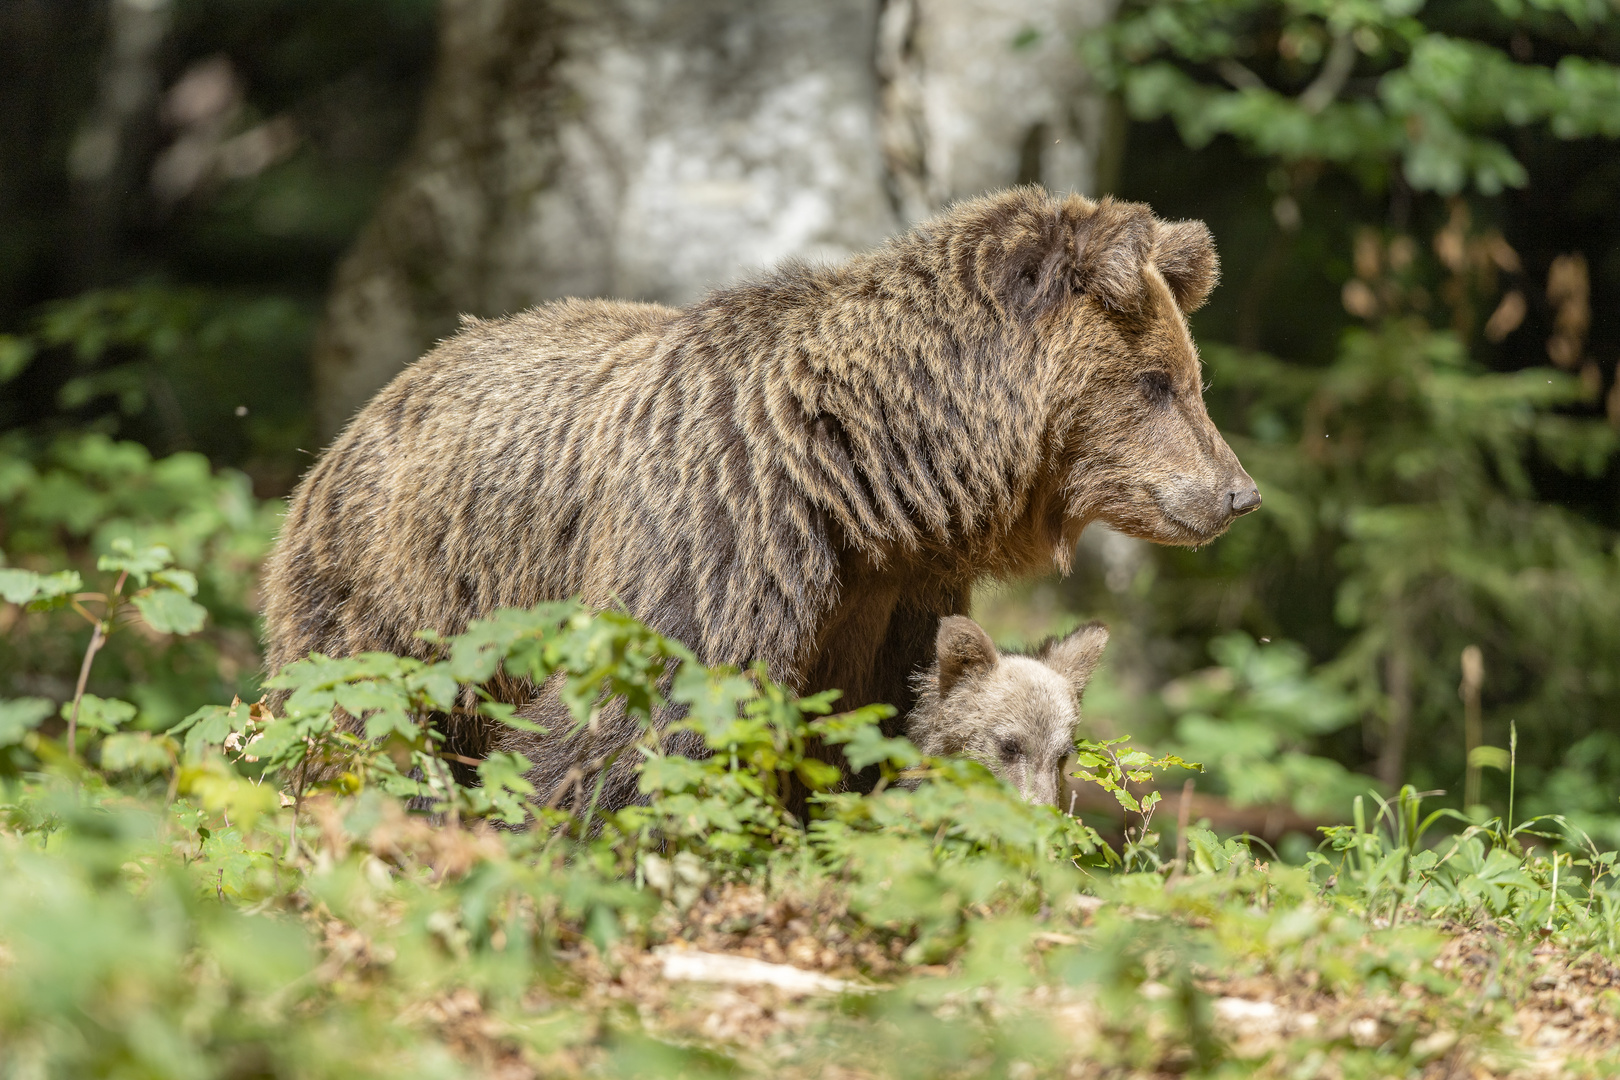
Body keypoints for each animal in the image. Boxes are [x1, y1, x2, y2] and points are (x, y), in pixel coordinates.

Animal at [262, 187, 1250, 809]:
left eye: (1192, 379)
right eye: (1159, 382)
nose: (1237, 494)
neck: (868, 479)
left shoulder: (893, 594)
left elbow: (877, 728)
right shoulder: (721, 533)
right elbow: (639, 715)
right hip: (403, 593)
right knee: (361, 724)